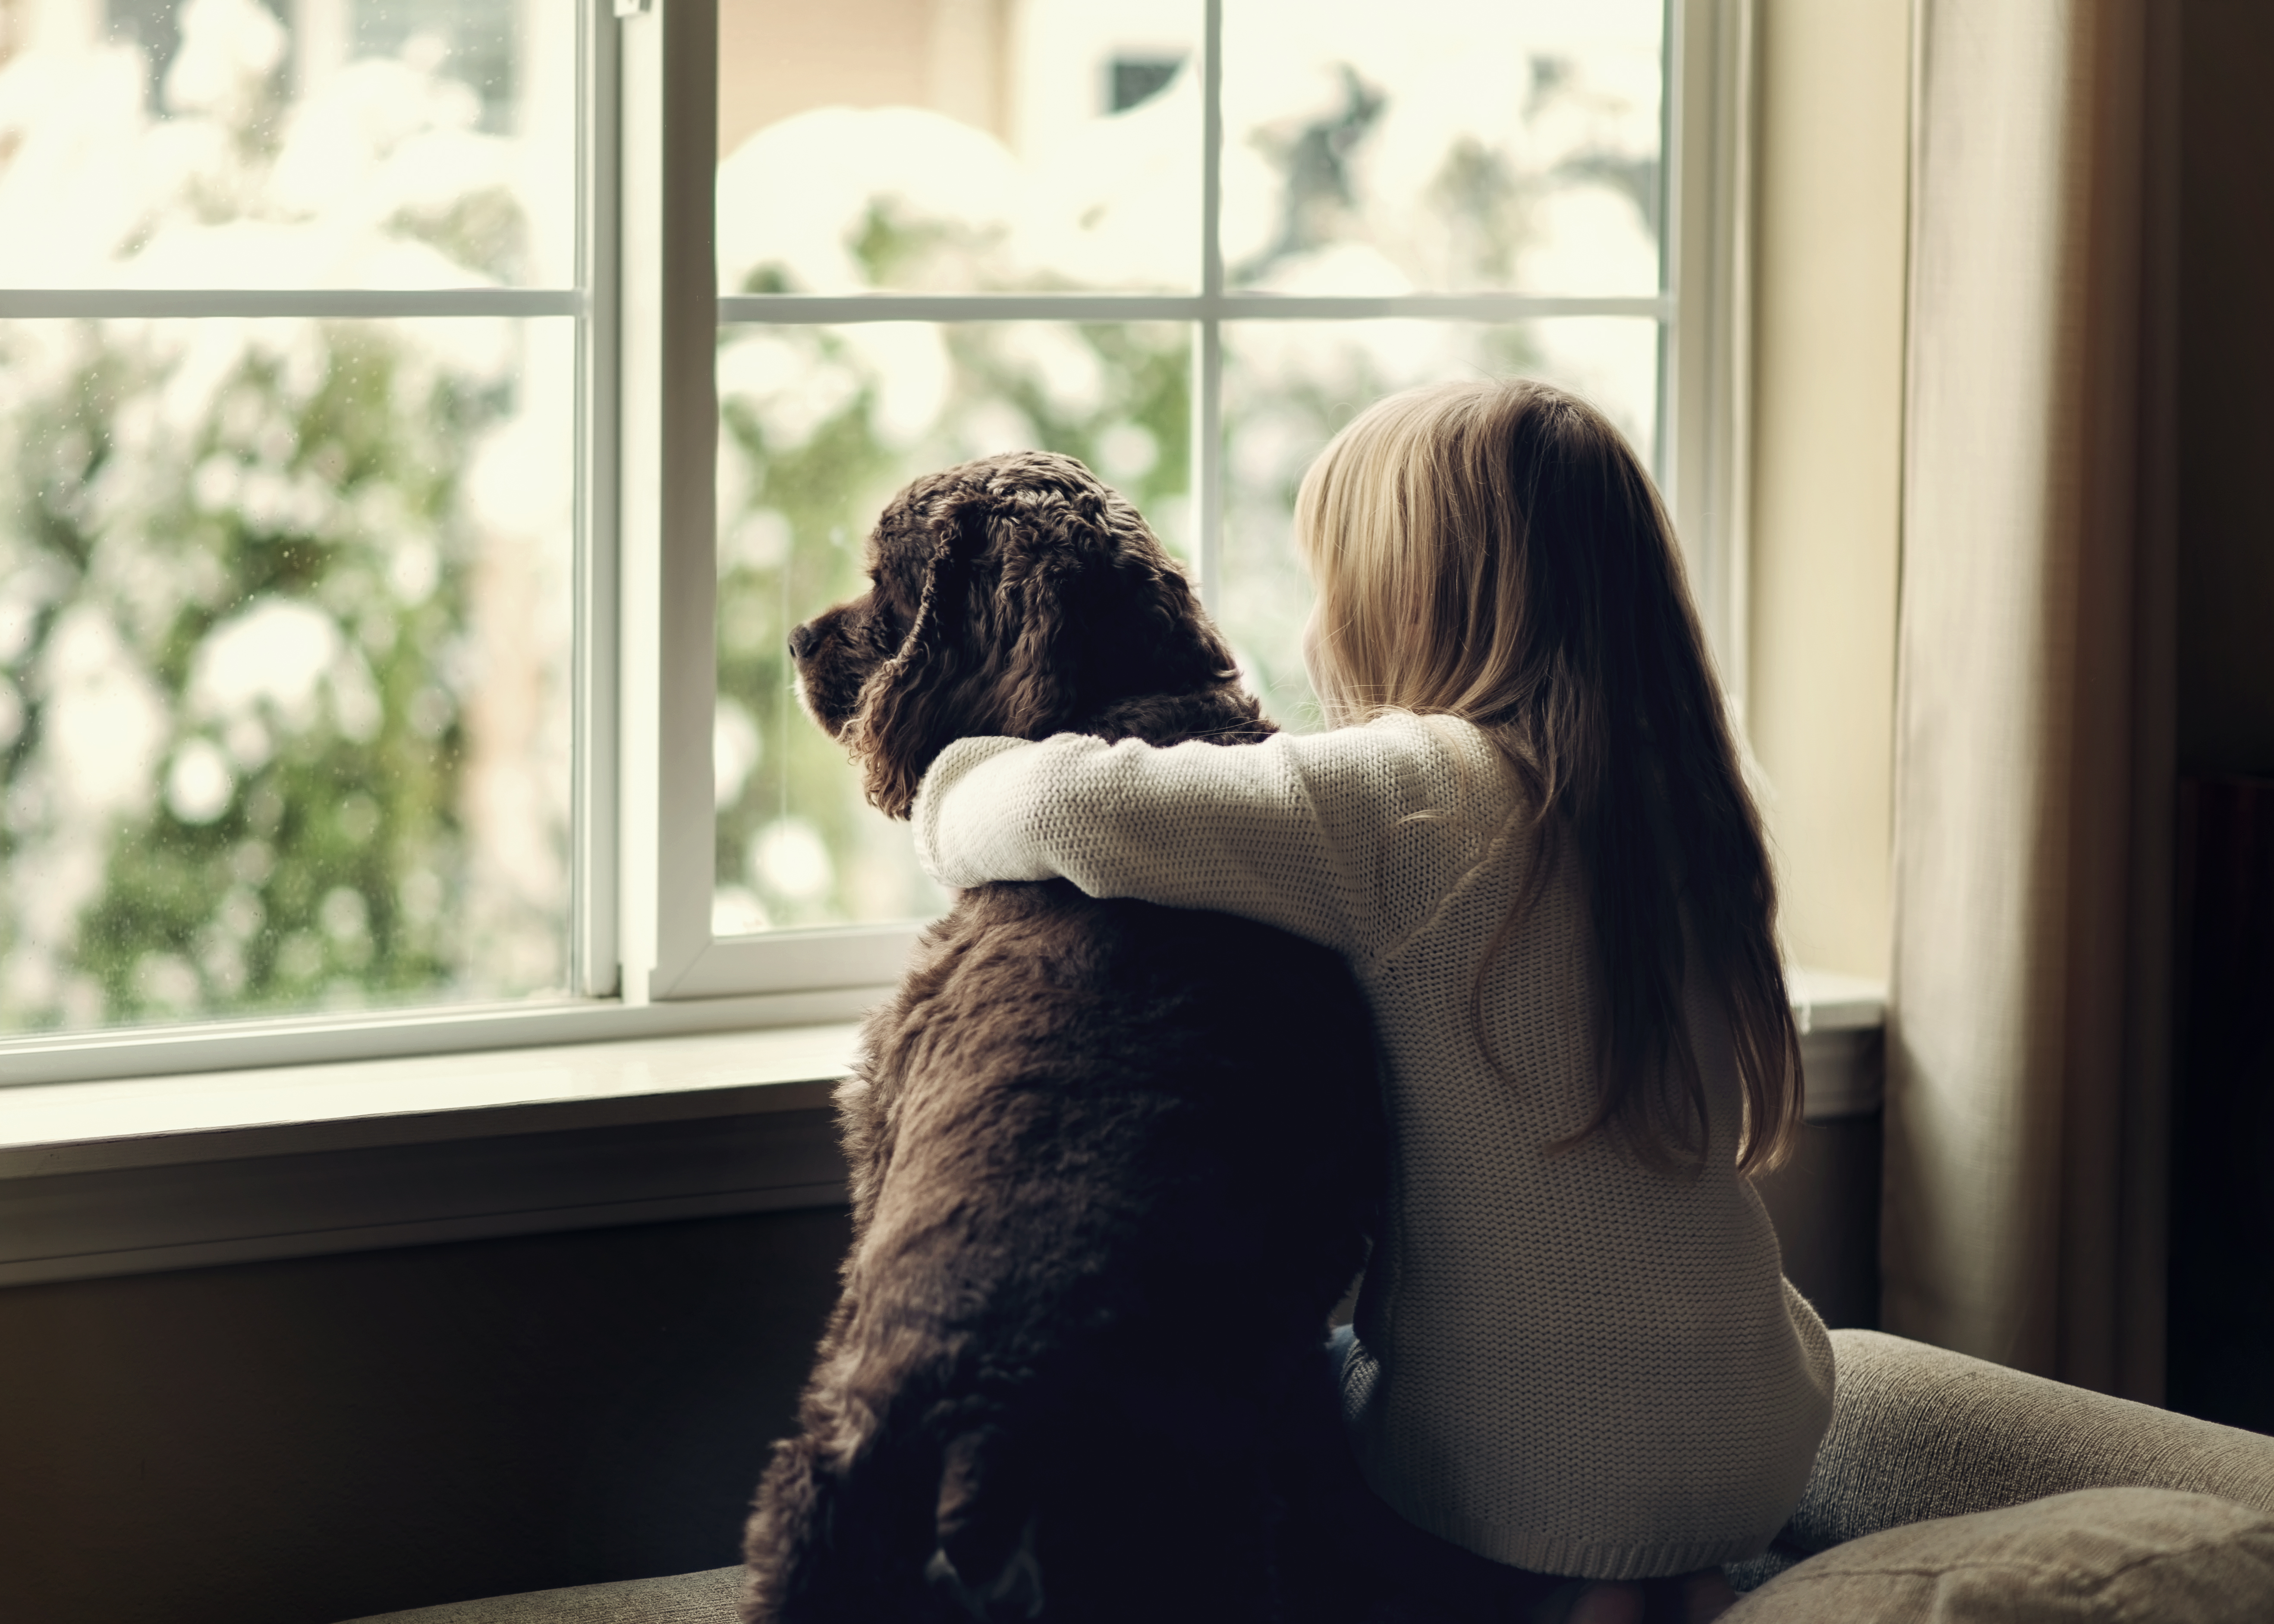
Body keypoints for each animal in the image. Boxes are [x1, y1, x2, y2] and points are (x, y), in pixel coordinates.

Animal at [745, 446, 1382, 1619]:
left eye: (887, 582)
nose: (798, 639)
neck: (1127, 709)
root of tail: (989, 1434)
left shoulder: (879, 1121)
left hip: (819, 1509)